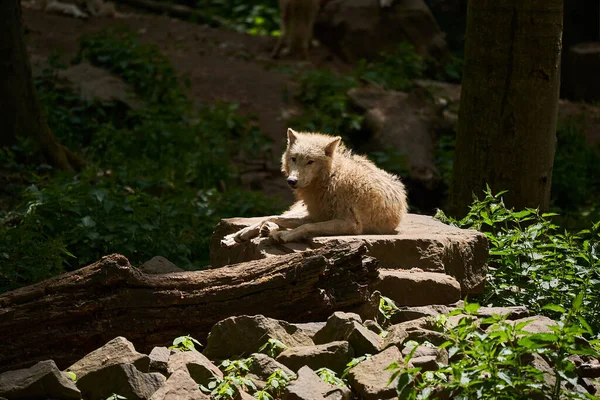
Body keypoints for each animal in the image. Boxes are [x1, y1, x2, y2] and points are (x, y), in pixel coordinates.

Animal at [223, 130, 410, 245]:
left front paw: (285, 235)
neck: (330, 178)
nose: (291, 181)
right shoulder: (316, 215)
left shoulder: (350, 224)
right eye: (294, 158)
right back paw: (245, 233)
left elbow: (306, 227)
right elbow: (276, 217)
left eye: (310, 162)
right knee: (274, 217)